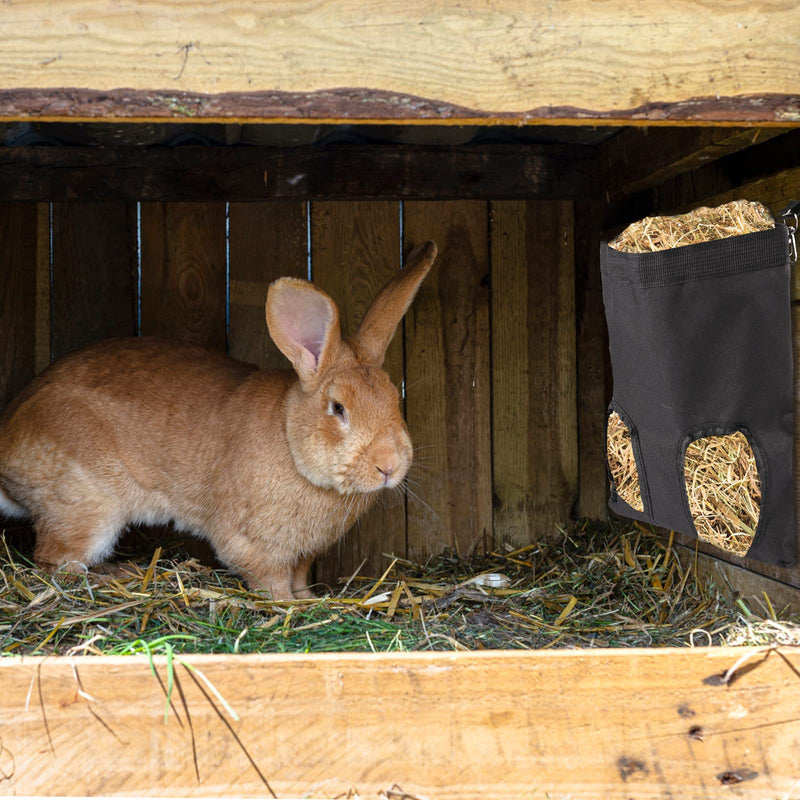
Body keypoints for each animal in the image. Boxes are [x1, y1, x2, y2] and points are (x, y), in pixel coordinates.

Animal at [0, 241, 438, 596]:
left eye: (395, 397)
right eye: (338, 408)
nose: (390, 466)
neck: (290, 440)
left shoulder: (301, 556)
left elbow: (298, 579)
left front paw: (308, 601)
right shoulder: (255, 544)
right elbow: (271, 582)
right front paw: (289, 607)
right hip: (87, 507)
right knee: (56, 563)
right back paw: (119, 575)